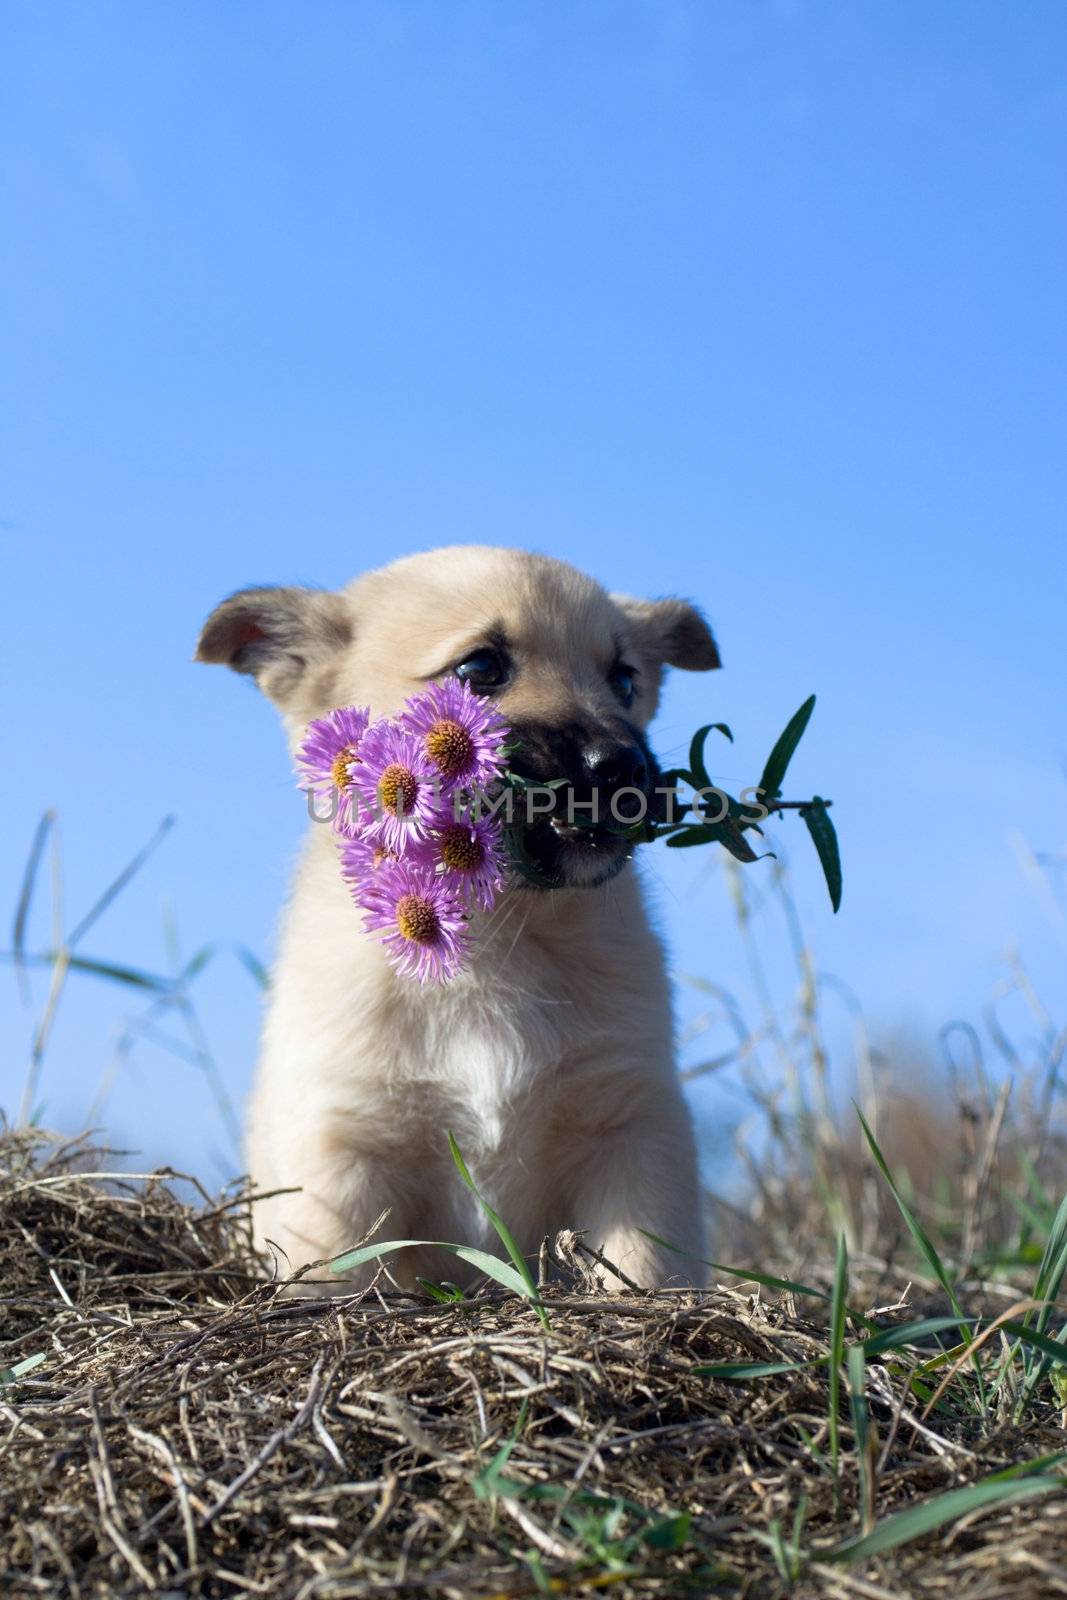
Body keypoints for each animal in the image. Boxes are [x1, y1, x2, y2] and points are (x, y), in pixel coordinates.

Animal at [197, 547, 723, 1286]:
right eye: (480, 669)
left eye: (624, 680)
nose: (619, 766)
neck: (497, 930)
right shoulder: (343, 1150)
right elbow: (333, 1273)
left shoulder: (632, 1128)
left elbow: (647, 1265)